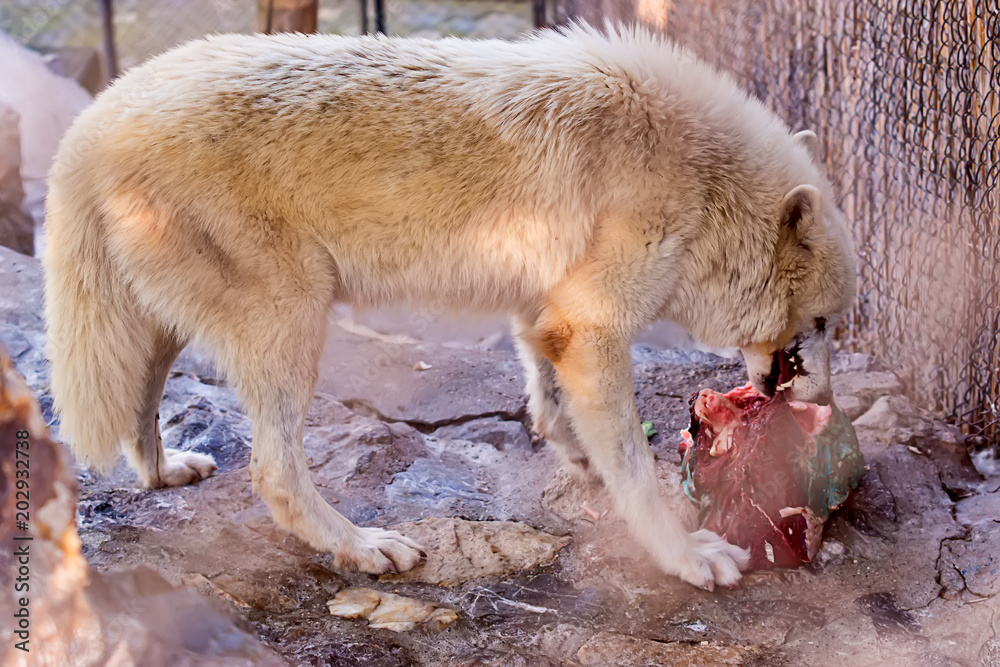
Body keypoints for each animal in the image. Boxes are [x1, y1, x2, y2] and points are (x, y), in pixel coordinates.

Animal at [43, 24, 856, 590]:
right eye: (820, 325)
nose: (826, 404)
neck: (701, 181)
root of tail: (92, 121)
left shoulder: (546, 316)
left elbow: (549, 401)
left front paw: (572, 452)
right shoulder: (593, 328)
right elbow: (635, 466)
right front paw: (683, 554)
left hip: (166, 329)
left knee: (139, 409)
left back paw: (163, 473)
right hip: (296, 320)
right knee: (273, 473)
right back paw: (365, 546)